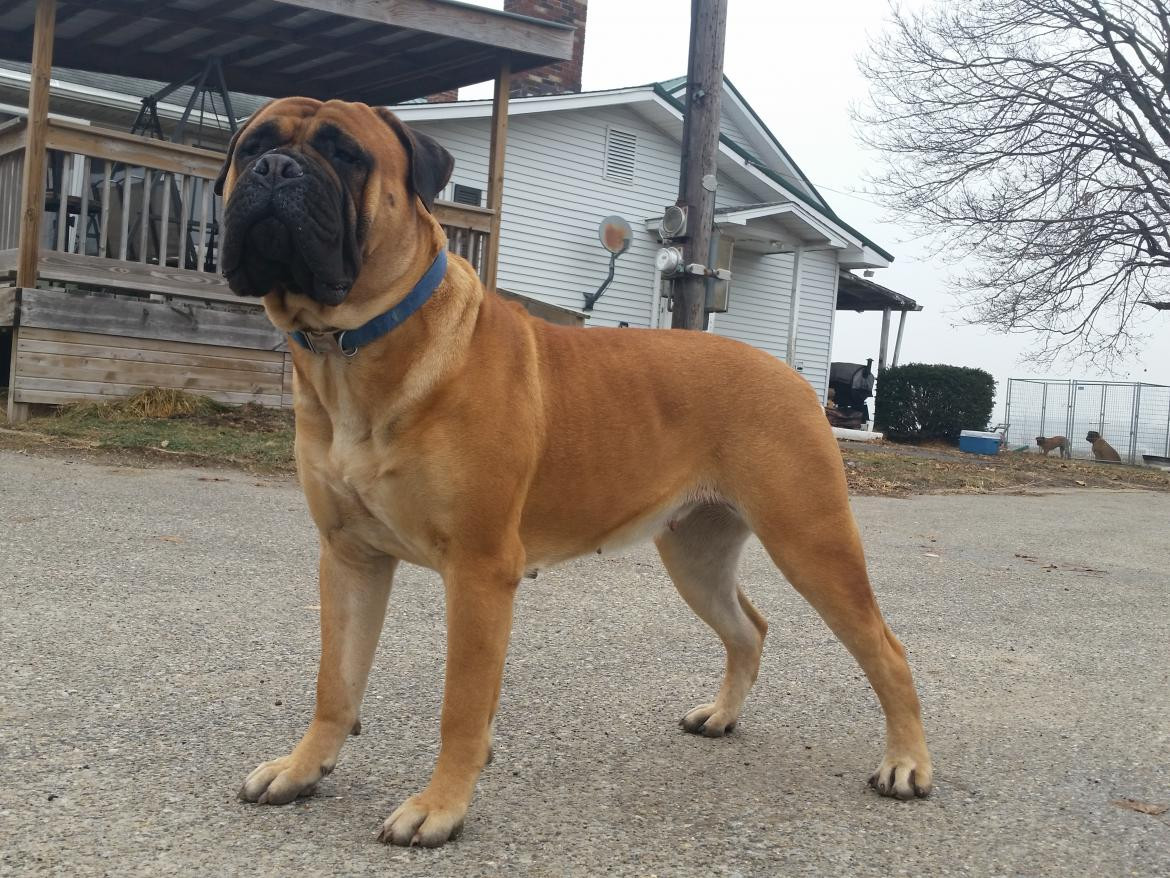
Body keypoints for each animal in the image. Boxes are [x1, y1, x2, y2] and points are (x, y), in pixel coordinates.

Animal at [217, 95, 931, 847]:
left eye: (345, 153)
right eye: (252, 146)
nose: (274, 168)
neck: (353, 347)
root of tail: (789, 374)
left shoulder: (479, 570)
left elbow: (460, 704)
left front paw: (440, 804)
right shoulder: (349, 556)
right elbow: (335, 681)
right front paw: (302, 768)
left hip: (811, 541)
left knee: (887, 650)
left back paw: (907, 763)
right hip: (696, 554)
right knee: (748, 628)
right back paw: (722, 715)